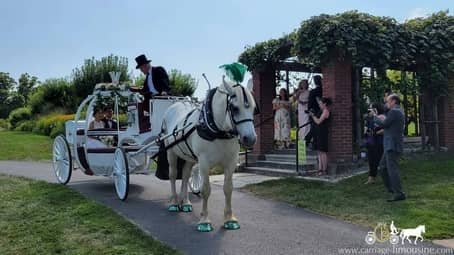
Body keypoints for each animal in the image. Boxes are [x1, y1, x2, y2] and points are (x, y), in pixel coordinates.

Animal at [161, 76, 258, 232]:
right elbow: (205, 190)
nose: (250, 139)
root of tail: (175, 105)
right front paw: (204, 221)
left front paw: (229, 219)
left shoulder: (231, 162)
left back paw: (185, 202)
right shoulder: (204, 162)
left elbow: (228, 188)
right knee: (173, 175)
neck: (218, 130)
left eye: (254, 109)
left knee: (186, 175)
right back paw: (174, 203)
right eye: (235, 108)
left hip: (189, 157)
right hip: (171, 152)